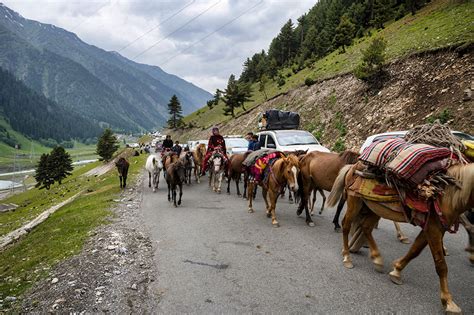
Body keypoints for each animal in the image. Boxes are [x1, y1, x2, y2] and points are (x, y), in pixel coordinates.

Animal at [326, 162, 474, 314]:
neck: (448, 194)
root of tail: (352, 166)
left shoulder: (432, 228)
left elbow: (415, 250)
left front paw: (396, 271)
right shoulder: (433, 229)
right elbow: (441, 265)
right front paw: (448, 302)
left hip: (374, 207)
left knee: (366, 227)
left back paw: (377, 258)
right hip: (355, 201)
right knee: (346, 226)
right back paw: (347, 257)